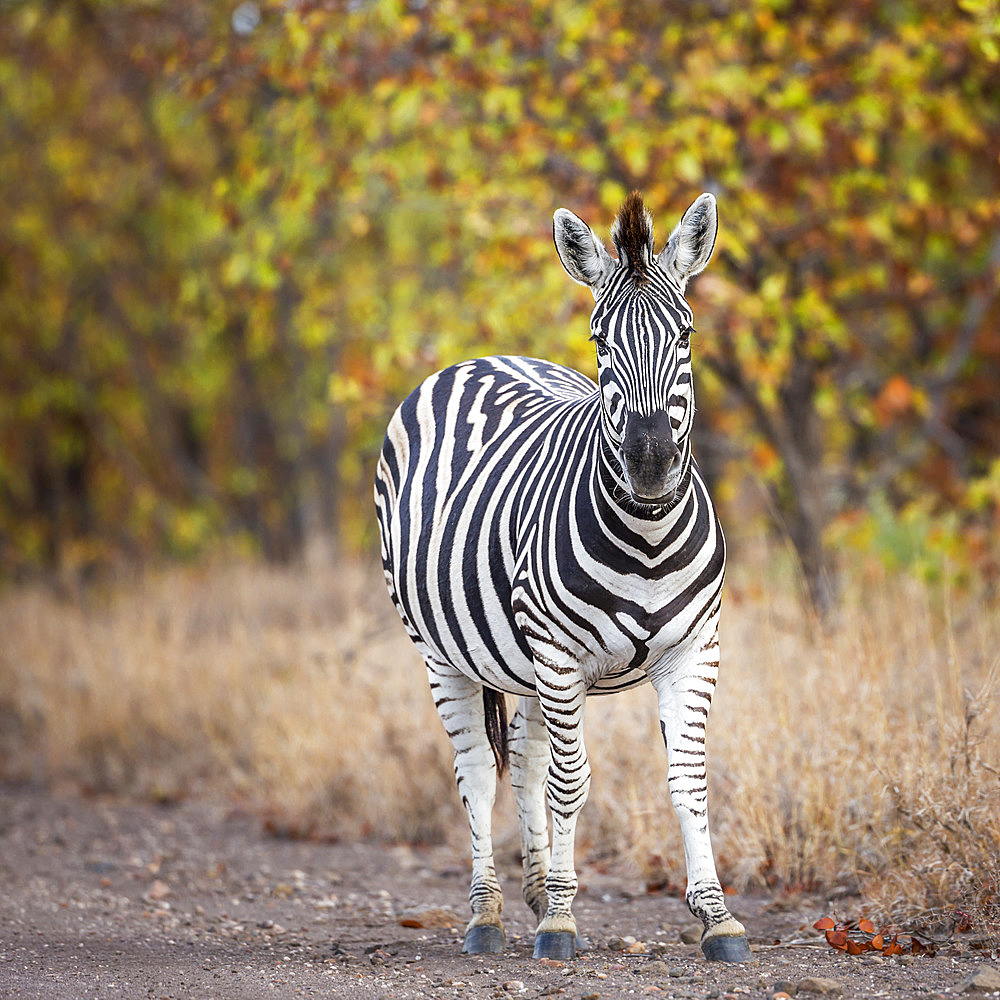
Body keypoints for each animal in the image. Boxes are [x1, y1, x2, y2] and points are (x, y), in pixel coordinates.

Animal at [376, 191, 752, 964]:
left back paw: (534, 886)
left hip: (518, 659)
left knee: (520, 756)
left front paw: (716, 917)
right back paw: (489, 914)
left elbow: (688, 781)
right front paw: (560, 922)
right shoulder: (556, 651)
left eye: (687, 335)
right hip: (444, 652)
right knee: (477, 770)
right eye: (600, 341)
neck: (647, 538)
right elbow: (570, 782)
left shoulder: (694, 651)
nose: (649, 465)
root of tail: (482, 358)